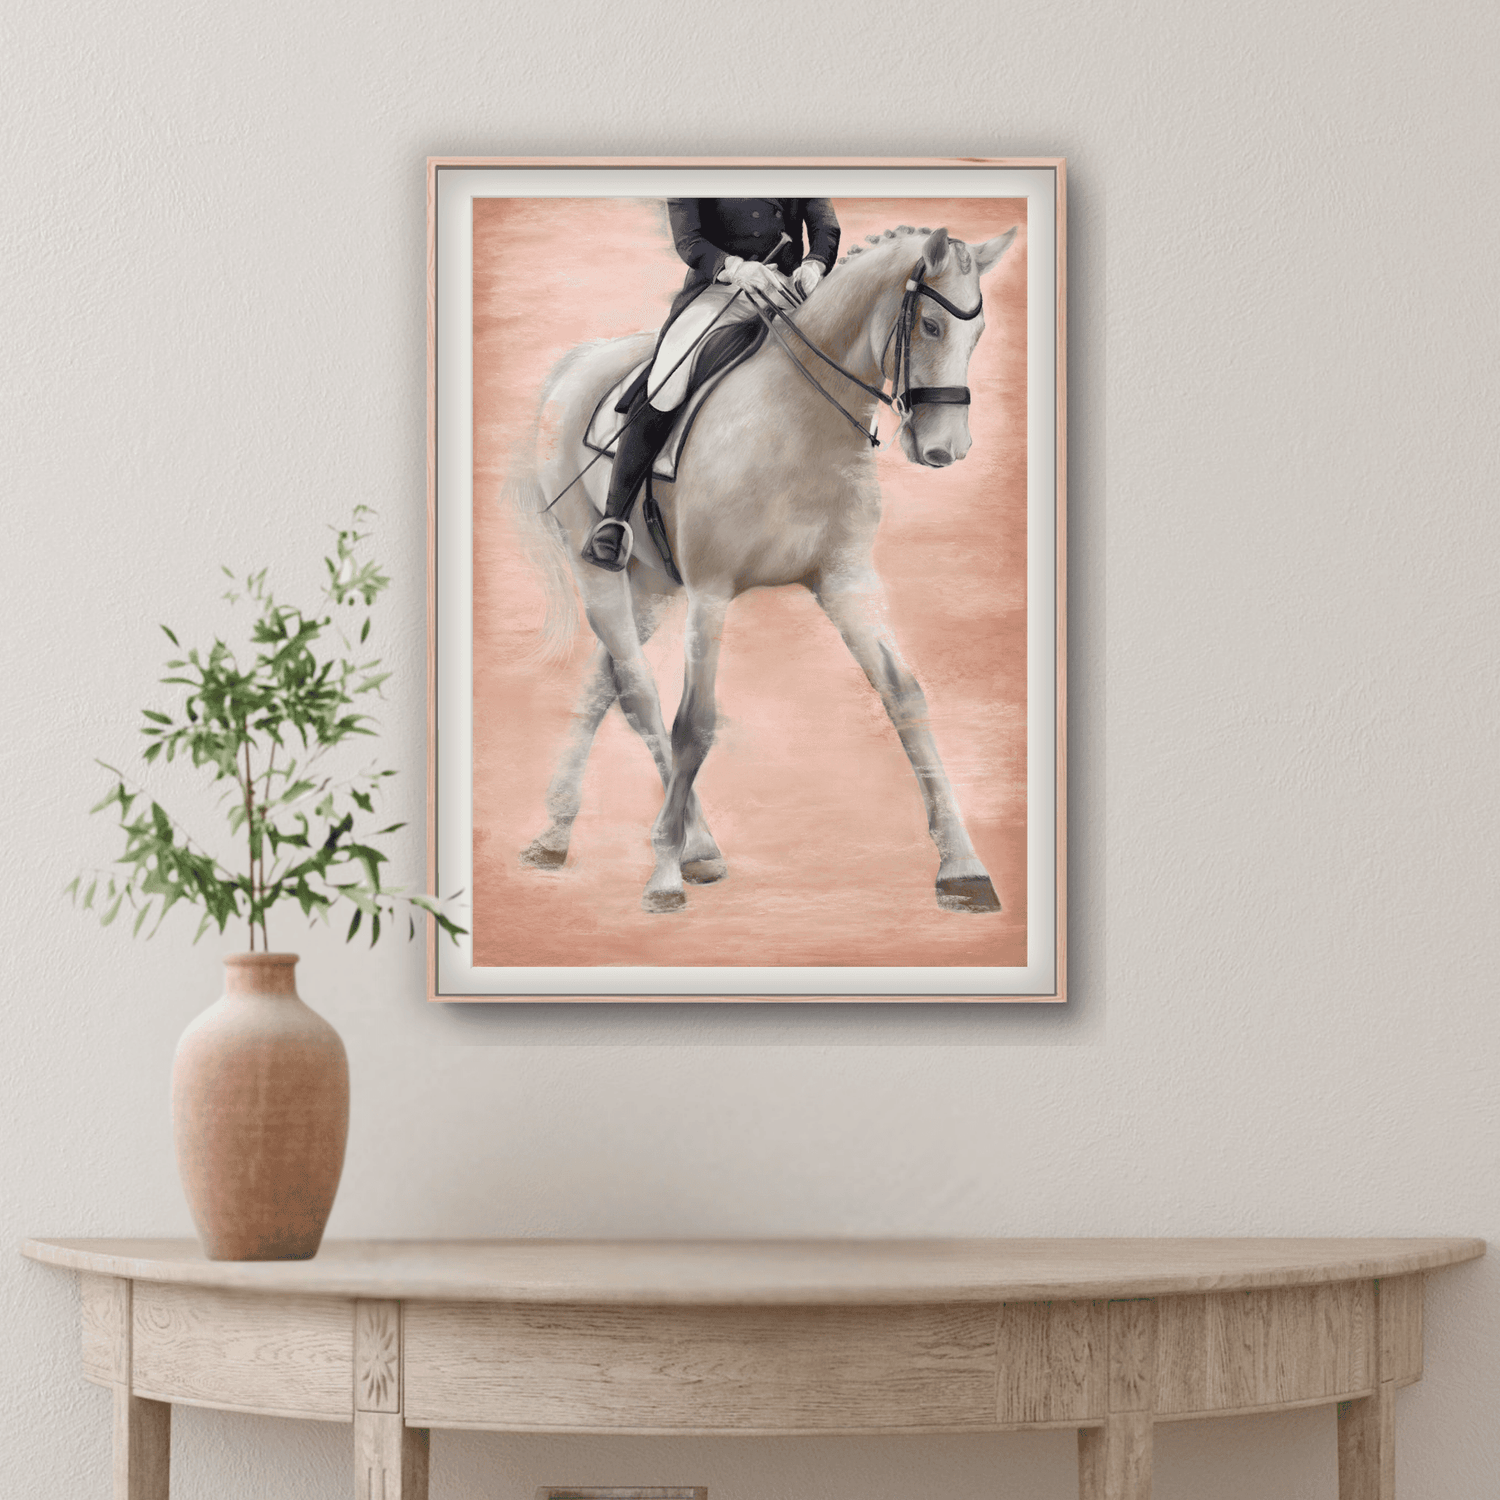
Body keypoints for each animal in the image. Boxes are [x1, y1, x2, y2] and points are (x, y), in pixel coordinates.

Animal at [506, 222, 1019, 915]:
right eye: (933, 326)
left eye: (980, 333)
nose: (947, 450)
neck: (800, 417)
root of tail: (582, 361)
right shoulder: (711, 593)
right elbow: (694, 724)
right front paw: (662, 875)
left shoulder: (845, 583)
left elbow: (904, 695)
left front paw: (963, 867)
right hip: (601, 572)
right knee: (640, 694)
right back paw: (688, 847)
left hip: (650, 584)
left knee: (605, 686)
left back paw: (562, 835)